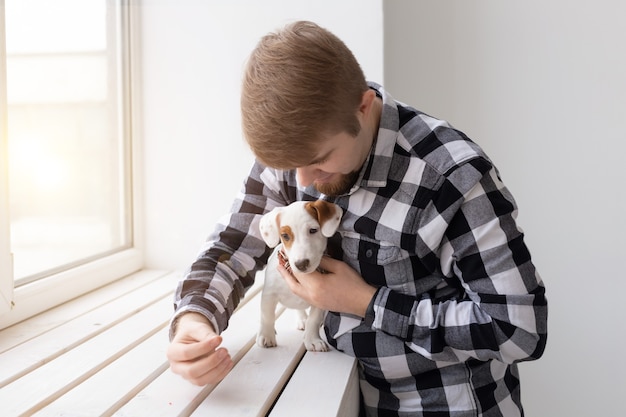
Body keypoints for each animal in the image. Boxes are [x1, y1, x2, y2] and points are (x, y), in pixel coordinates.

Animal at [255, 200, 342, 350]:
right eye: (285, 236)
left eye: (313, 230)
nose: (301, 264)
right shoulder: (269, 294)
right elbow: (267, 316)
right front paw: (266, 335)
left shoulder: (321, 299)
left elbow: (313, 320)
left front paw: (312, 339)